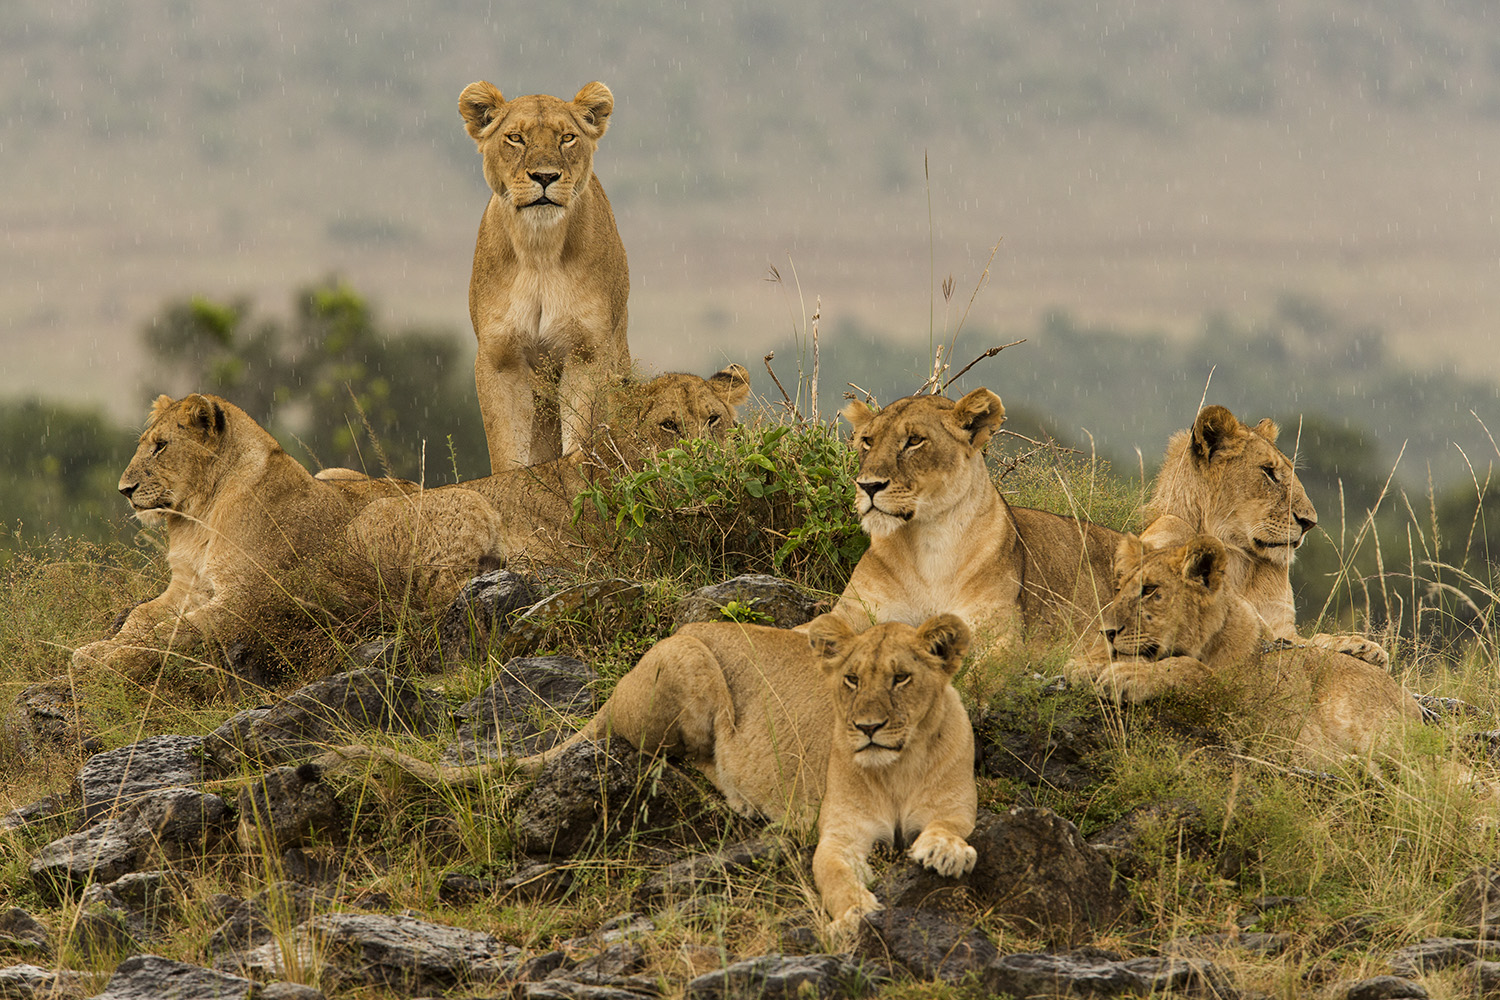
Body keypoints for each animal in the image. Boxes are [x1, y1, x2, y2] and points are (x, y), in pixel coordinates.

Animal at [73, 395, 504, 677]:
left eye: (161, 446)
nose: (123, 490)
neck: (197, 515)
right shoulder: (186, 585)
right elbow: (141, 617)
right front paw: (97, 648)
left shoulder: (246, 598)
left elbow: (172, 631)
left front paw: (110, 660)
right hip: (334, 474)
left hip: (405, 515)